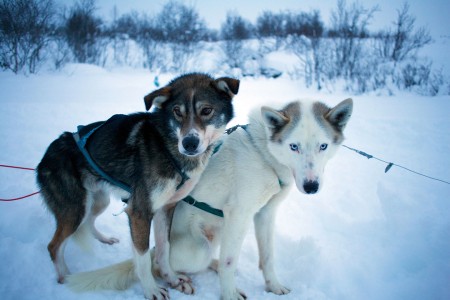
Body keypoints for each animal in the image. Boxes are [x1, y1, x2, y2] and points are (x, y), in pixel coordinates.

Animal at [68, 98, 354, 298]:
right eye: (294, 146)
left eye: (323, 146)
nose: (311, 186)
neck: (263, 153)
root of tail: (152, 250)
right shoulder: (238, 215)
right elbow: (230, 262)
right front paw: (229, 294)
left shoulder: (264, 214)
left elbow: (268, 256)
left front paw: (273, 286)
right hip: (200, 248)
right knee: (160, 266)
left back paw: (212, 265)